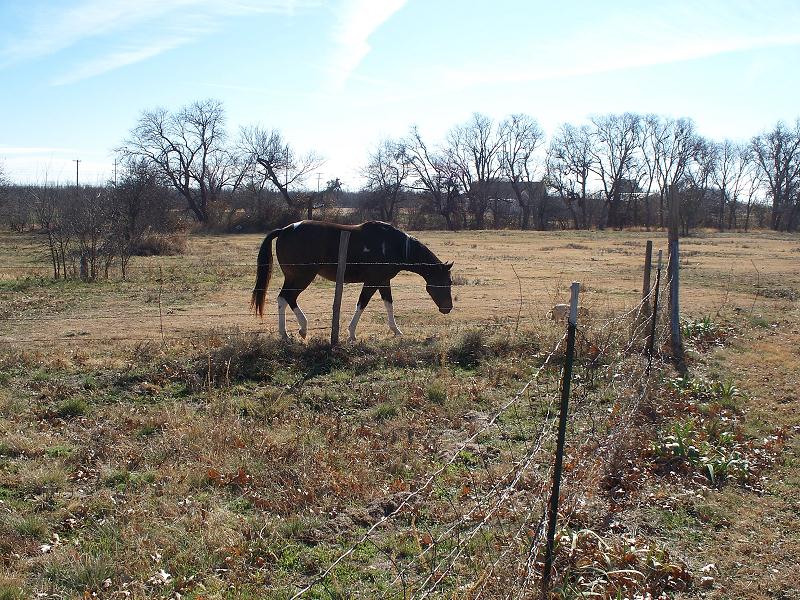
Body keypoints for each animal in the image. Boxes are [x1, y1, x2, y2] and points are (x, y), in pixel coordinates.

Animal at [252, 221, 450, 342]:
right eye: (445, 282)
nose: (447, 308)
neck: (394, 246)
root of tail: (285, 230)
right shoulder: (372, 282)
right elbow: (361, 304)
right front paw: (352, 334)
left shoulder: (383, 281)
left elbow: (389, 305)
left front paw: (397, 331)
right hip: (303, 277)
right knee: (288, 298)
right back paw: (299, 330)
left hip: (293, 277)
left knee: (283, 299)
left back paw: (288, 333)